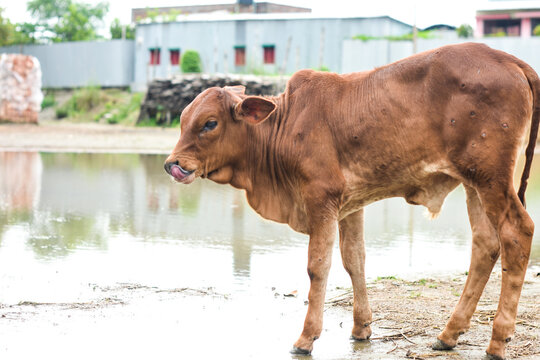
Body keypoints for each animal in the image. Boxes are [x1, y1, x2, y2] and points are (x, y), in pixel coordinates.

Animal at [166, 43, 540, 358]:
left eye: (209, 123)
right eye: (183, 121)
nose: (172, 164)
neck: (283, 128)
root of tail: (510, 60)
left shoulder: (321, 200)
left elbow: (318, 266)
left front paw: (307, 337)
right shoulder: (350, 205)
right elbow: (354, 260)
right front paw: (362, 327)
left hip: (492, 179)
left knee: (516, 232)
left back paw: (497, 340)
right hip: (473, 183)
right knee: (485, 244)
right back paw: (449, 334)